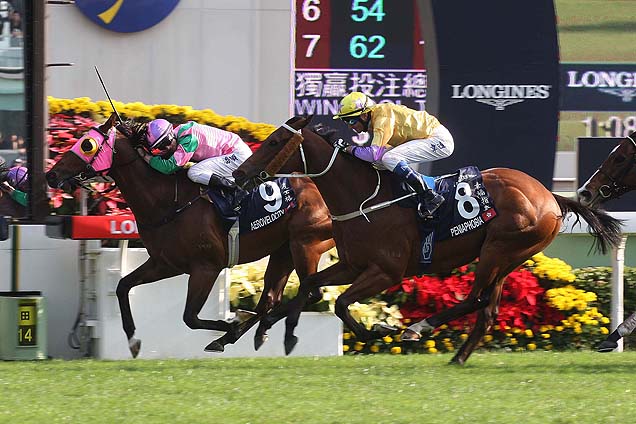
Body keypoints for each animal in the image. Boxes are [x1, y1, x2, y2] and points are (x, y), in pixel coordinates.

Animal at [45, 113, 336, 358]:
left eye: (87, 145)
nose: (51, 174)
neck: (167, 201)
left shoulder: (206, 267)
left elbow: (190, 318)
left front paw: (229, 324)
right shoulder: (165, 263)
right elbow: (122, 286)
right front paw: (133, 341)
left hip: (306, 244)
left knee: (309, 292)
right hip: (283, 249)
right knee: (270, 300)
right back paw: (251, 333)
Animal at [232, 115, 620, 364]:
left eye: (276, 141)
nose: (239, 173)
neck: (363, 199)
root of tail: (550, 196)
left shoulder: (386, 271)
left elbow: (340, 303)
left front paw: (379, 330)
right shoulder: (353, 264)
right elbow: (312, 283)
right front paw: (281, 332)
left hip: (499, 248)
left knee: (476, 299)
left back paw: (419, 327)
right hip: (509, 257)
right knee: (488, 309)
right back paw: (458, 358)